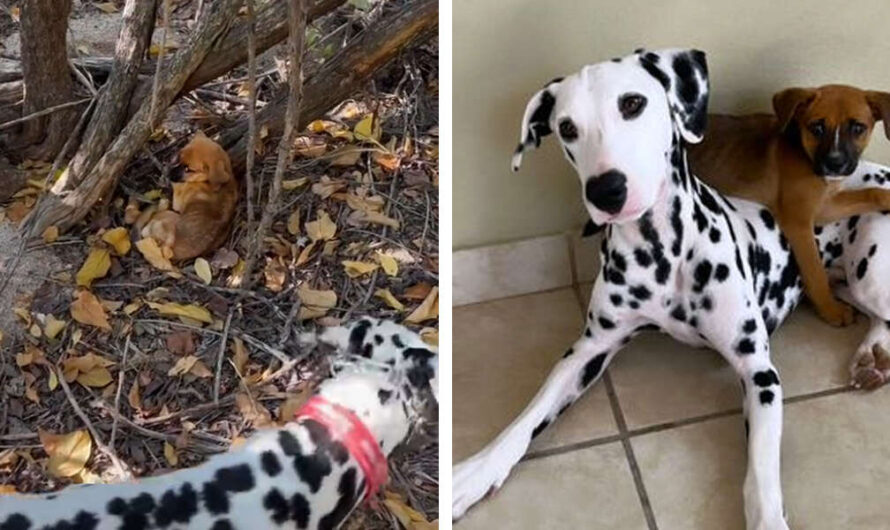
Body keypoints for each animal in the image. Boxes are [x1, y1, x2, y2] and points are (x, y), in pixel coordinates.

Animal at [688, 85, 888, 326]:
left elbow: (871, 192)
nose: (835, 164)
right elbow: (815, 272)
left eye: (858, 128)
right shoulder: (799, 221)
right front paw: (831, 310)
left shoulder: (824, 206)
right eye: (817, 128)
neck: (802, 150)